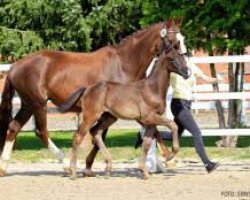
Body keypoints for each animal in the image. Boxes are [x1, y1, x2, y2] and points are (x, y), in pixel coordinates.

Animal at [58, 48, 188, 178]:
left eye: (182, 57)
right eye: (172, 59)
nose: (186, 73)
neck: (152, 89)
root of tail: (87, 89)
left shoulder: (150, 121)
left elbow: (147, 143)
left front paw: (145, 171)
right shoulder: (149, 117)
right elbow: (172, 125)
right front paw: (170, 155)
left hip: (109, 117)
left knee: (96, 132)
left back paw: (108, 167)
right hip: (91, 116)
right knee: (78, 136)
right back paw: (73, 171)